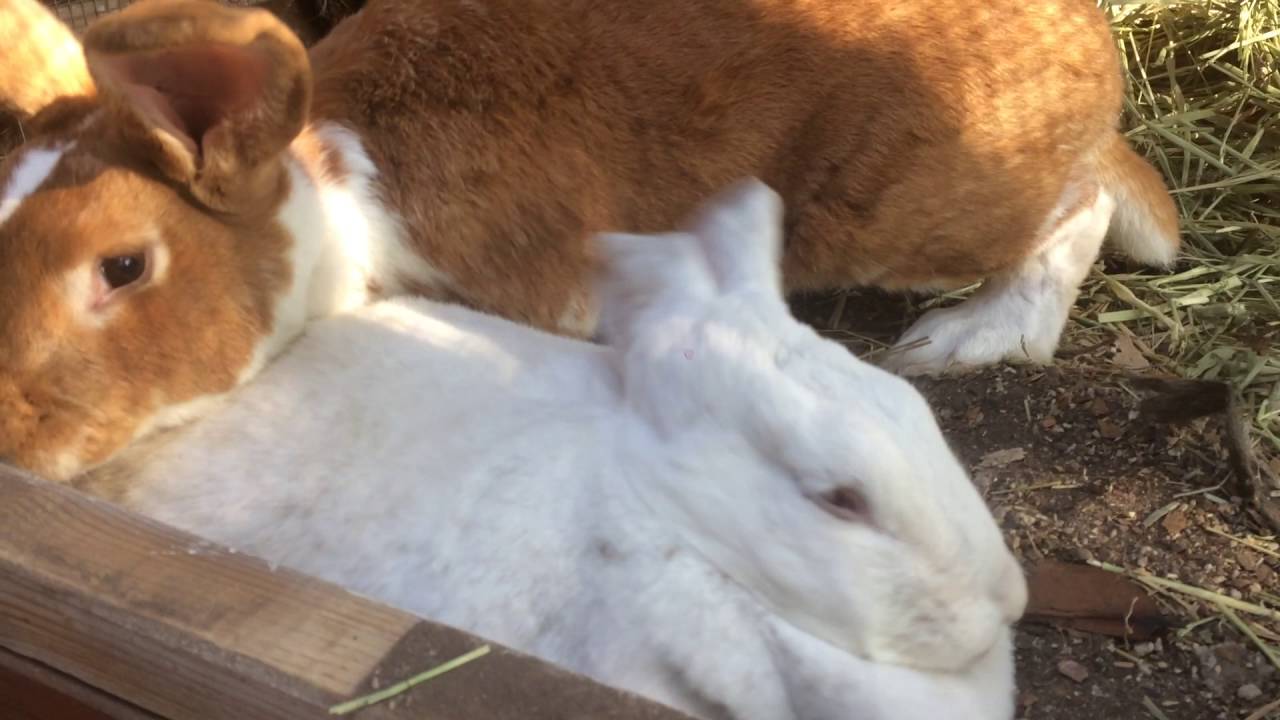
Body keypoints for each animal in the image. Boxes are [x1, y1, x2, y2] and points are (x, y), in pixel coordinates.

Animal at [0, 0, 1178, 480]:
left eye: (122, 267)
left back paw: (970, 339)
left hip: (916, 212)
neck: (339, 184)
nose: (10, 442)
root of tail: (1094, 52)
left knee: (1076, 204)